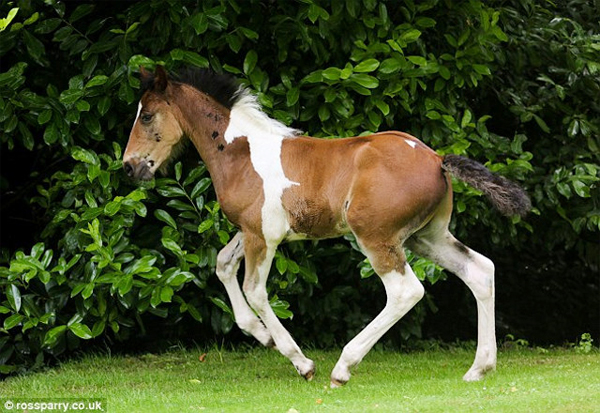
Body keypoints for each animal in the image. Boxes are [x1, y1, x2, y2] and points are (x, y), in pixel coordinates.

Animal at [123, 66, 528, 384]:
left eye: (147, 116)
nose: (129, 166)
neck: (241, 152)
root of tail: (437, 159)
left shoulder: (263, 237)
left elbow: (255, 290)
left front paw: (301, 362)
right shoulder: (250, 230)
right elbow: (223, 265)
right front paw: (262, 336)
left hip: (376, 236)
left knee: (405, 291)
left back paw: (343, 367)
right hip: (426, 237)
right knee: (480, 270)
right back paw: (479, 368)